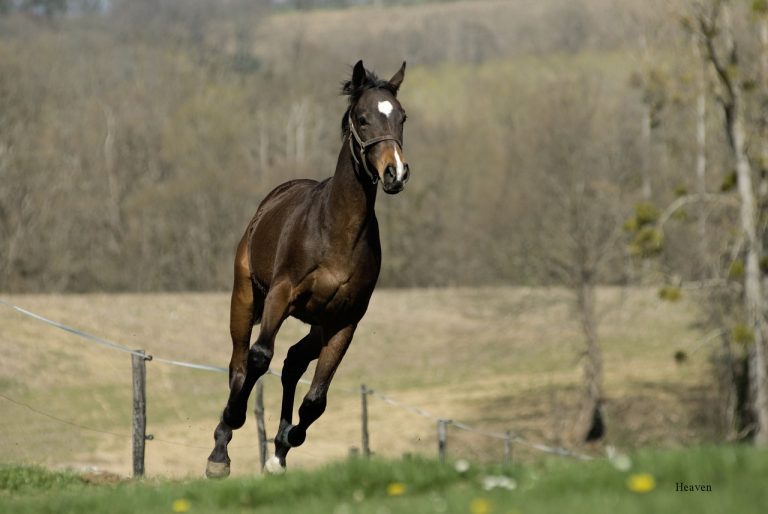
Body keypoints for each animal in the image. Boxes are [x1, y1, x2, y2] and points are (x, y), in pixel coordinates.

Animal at [204, 60, 408, 476]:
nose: (395, 173)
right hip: (245, 296)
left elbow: (316, 399)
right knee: (240, 361)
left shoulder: (345, 320)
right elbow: (259, 357)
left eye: (402, 117)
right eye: (363, 119)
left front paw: (283, 446)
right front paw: (232, 429)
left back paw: (278, 452)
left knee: (293, 362)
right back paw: (221, 449)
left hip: (316, 322)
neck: (337, 232)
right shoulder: (281, 295)